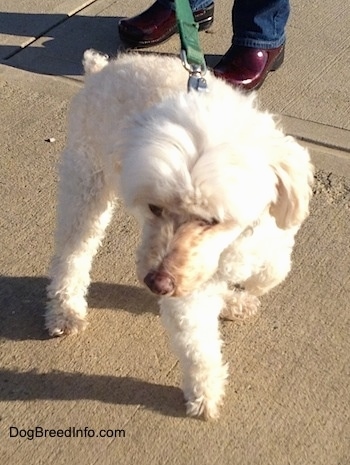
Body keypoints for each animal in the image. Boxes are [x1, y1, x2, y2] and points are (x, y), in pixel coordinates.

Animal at [46, 49, 314, 418]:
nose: (157, 282)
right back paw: (66, 309)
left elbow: (274, 270)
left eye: (212, 219)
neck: (229, 246)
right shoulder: (187, 297)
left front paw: (245, 289)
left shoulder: (270, 238)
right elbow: (197, 345)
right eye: (154, 207)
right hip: (86, 183)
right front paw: (205, 391)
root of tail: (102, 69)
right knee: (73, 253)